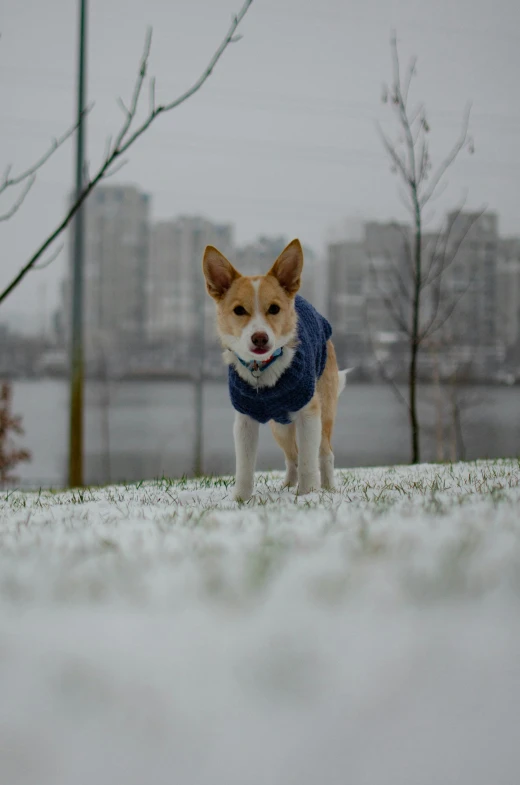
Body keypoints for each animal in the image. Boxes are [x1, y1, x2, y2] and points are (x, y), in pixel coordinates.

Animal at [202, 236, 346, 500]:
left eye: (274, 309)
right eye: (239, 310)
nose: (260, 338)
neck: (263, 367)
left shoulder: (309, 414)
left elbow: (309, 461)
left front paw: (308, 494)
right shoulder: (245, 420)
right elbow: (245, 466)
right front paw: (240, 499)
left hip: (325, 412)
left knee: (324, 453)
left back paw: (328, 487)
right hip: (279, 427)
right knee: (292, 456)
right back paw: (288, 485)